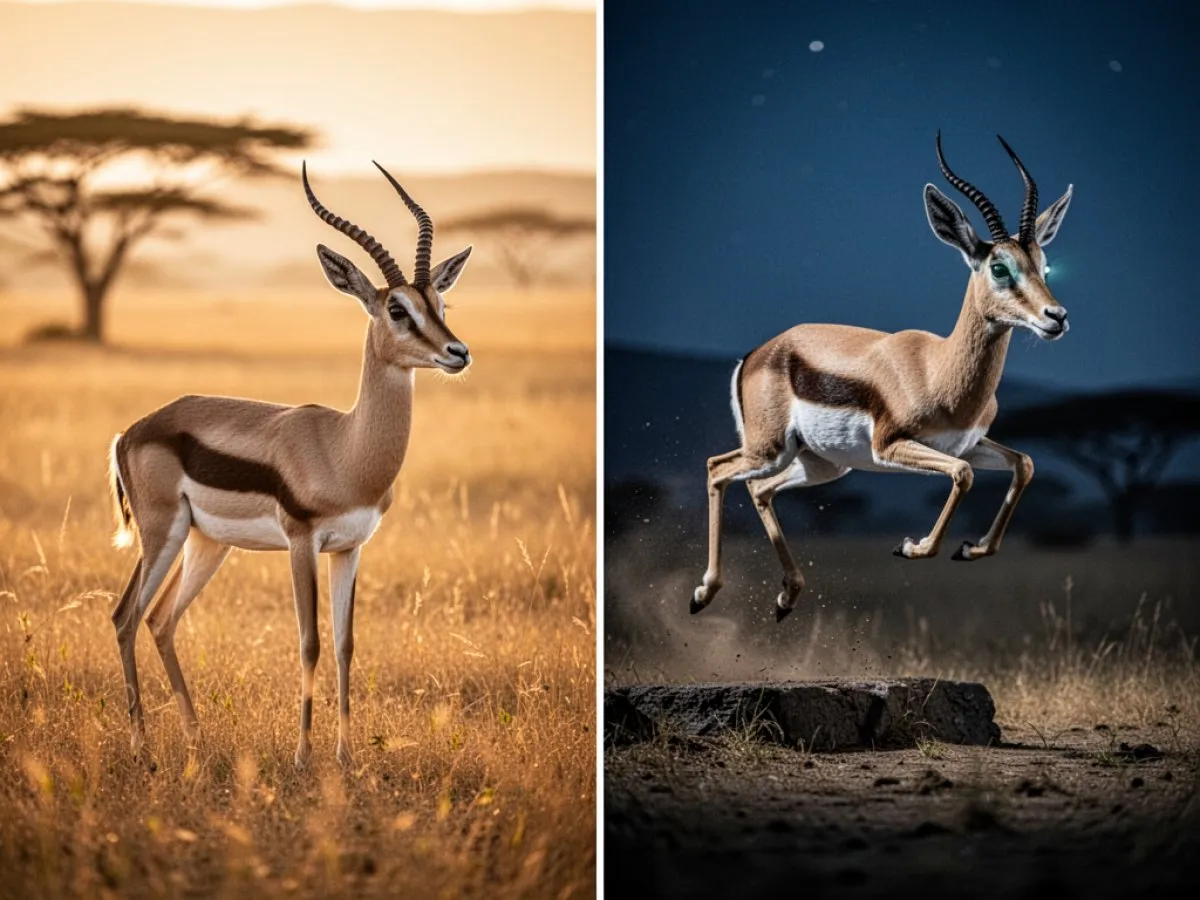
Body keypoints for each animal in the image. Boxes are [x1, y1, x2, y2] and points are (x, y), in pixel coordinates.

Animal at [107, 162, 473, 767]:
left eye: (441, 307)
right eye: (397, 309)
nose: (457, 353)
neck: (344, 449)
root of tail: (133, 430)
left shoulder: (349, 548)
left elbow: (346, 644)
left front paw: (346, 756)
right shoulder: (302, 541)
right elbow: (309, 641)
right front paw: (304, 755)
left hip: (205, 543)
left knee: (160, 620)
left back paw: (195, 738)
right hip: (162, 534)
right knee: (126, 617)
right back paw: (144, 748)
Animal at [692, 133, 1073, 622]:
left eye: (1044, 267)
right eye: (999, 267)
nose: (1055, 317)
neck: (937, 369)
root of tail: (759, 353)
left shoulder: (966, 442)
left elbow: (1022, 464)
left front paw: (970, 549)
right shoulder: (892, 445)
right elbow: (964, 475)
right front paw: (911, 547)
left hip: (820, 464)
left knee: (759, 489)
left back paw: (786, 597)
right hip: (769, 448)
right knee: (717, 470)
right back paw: (703, 593)